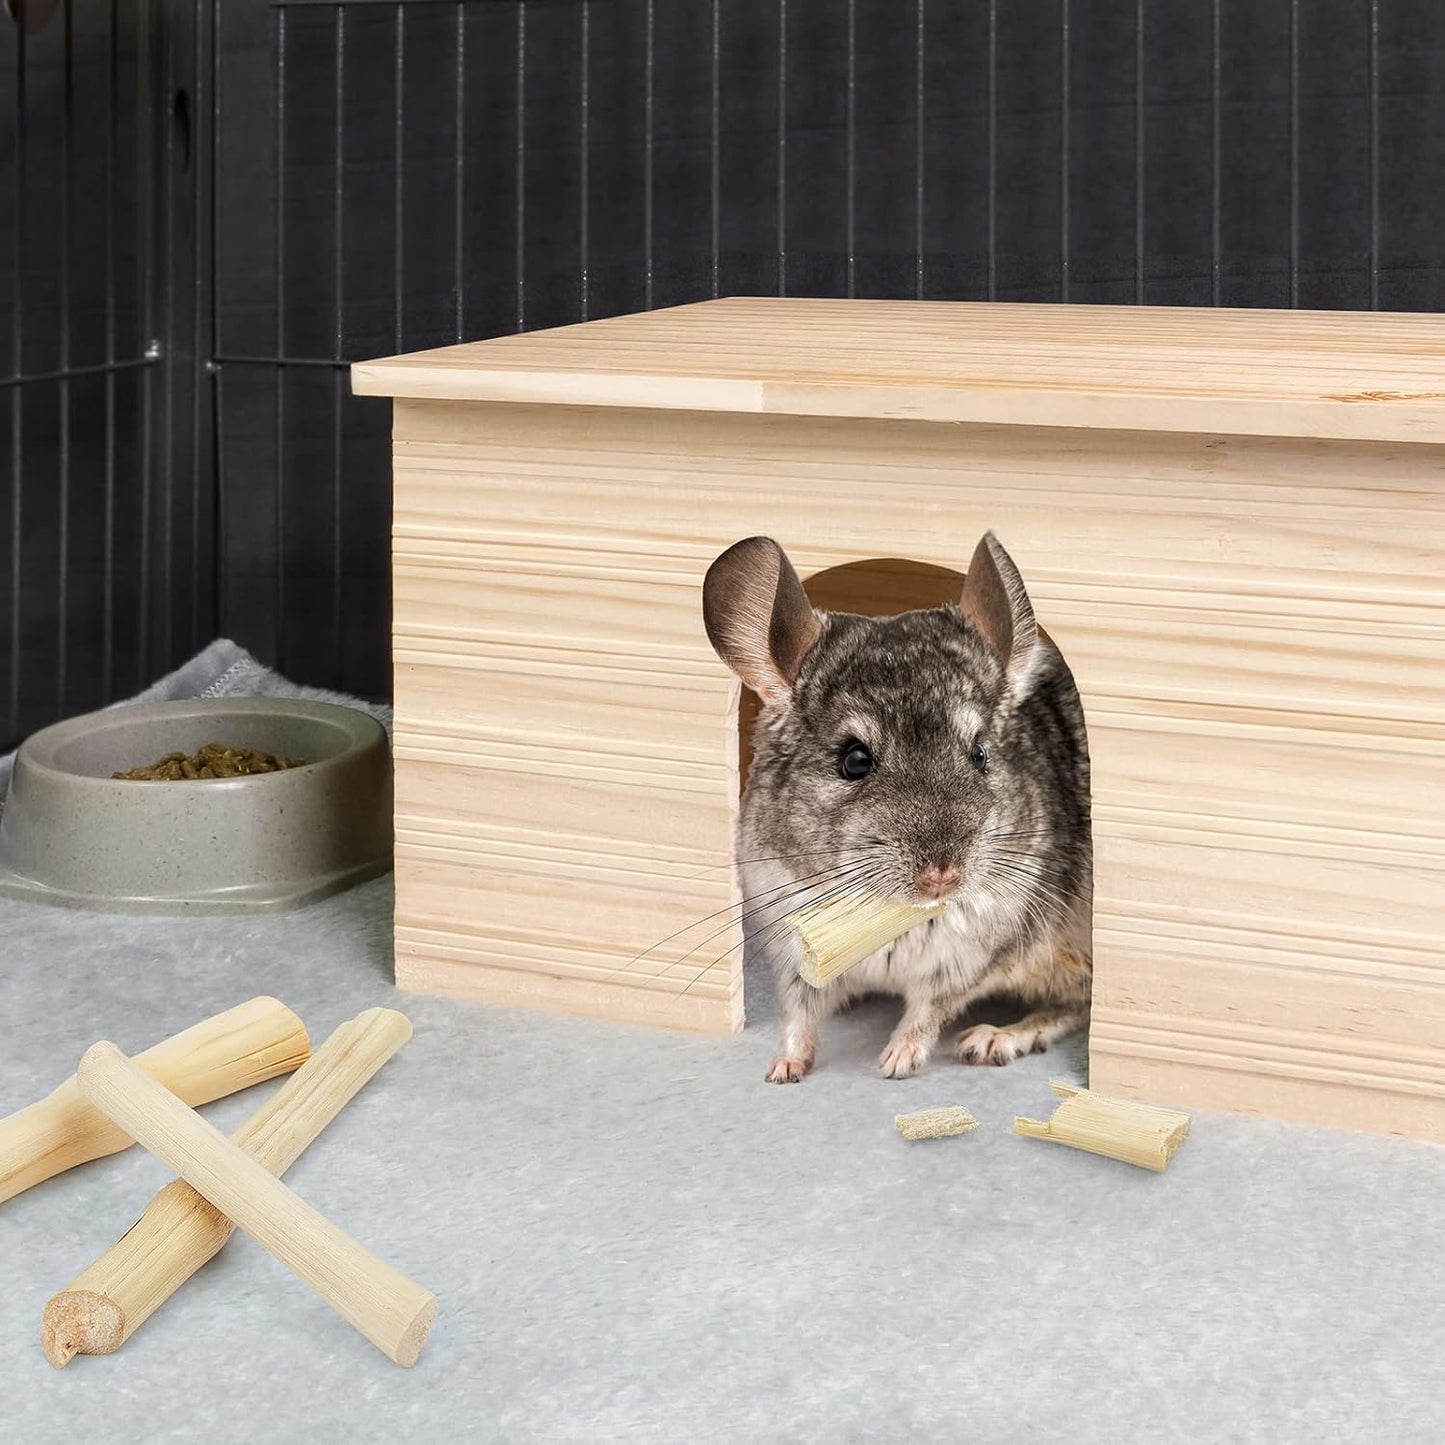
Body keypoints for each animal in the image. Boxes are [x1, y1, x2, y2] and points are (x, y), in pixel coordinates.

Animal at [702, 531, 1092, 1083]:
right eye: (854, 760)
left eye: (980, 753)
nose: (942, 875)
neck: (882, 914)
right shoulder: (793, 948)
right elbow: (799, 1011)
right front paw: (784, 1067)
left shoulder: (965, 960)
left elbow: (927, 1010)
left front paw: (896, 1061)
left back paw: (996, 1037)